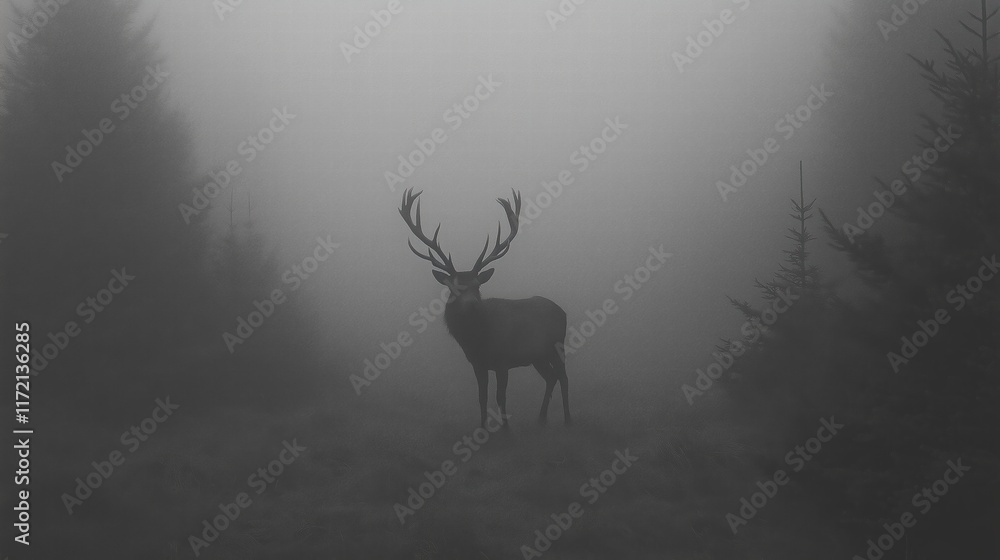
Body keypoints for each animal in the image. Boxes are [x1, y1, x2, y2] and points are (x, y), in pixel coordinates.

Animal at [399, 188, 571, 429]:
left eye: (477, 286)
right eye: (454, 288)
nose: (471, 304)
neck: (479, 340)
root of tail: (562, 311)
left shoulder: (503, 360)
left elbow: (501, 396)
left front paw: (506, 430)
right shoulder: (477, 363)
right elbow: (482, 397)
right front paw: (482, 427)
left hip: (557, 345)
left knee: (563, 377)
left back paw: (568, 419)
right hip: (538, 355)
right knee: (551, 377)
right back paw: (541, 418)